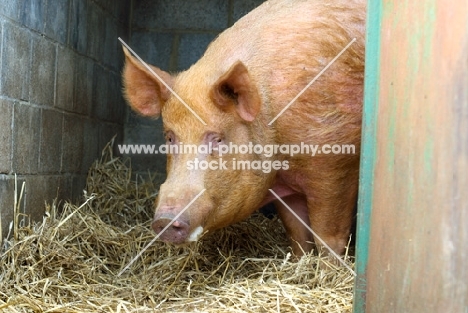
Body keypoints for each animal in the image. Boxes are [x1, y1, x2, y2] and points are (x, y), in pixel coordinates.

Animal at [121, 0, 366, 260]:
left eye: (218, 139)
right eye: (169, 137)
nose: (165, 220)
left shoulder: (335, 166)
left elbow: (329, 238)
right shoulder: (286, 187)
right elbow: (298, 235)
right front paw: (301, 260)